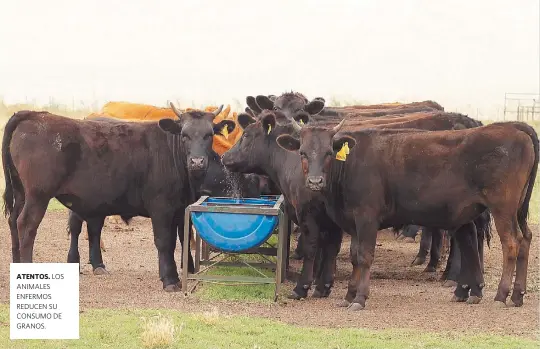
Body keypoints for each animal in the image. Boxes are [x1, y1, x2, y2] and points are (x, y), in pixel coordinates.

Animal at [2, 106, 235, 290]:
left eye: (209, 135)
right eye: (184, 135)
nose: (197, 161)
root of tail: (34, 114)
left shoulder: (180, 209)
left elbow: (182, 239)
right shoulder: (161, 208)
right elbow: (164, 242)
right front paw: (170, 280)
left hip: (22, 192)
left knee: (13, 221)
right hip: (38, 196)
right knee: (27, 225)